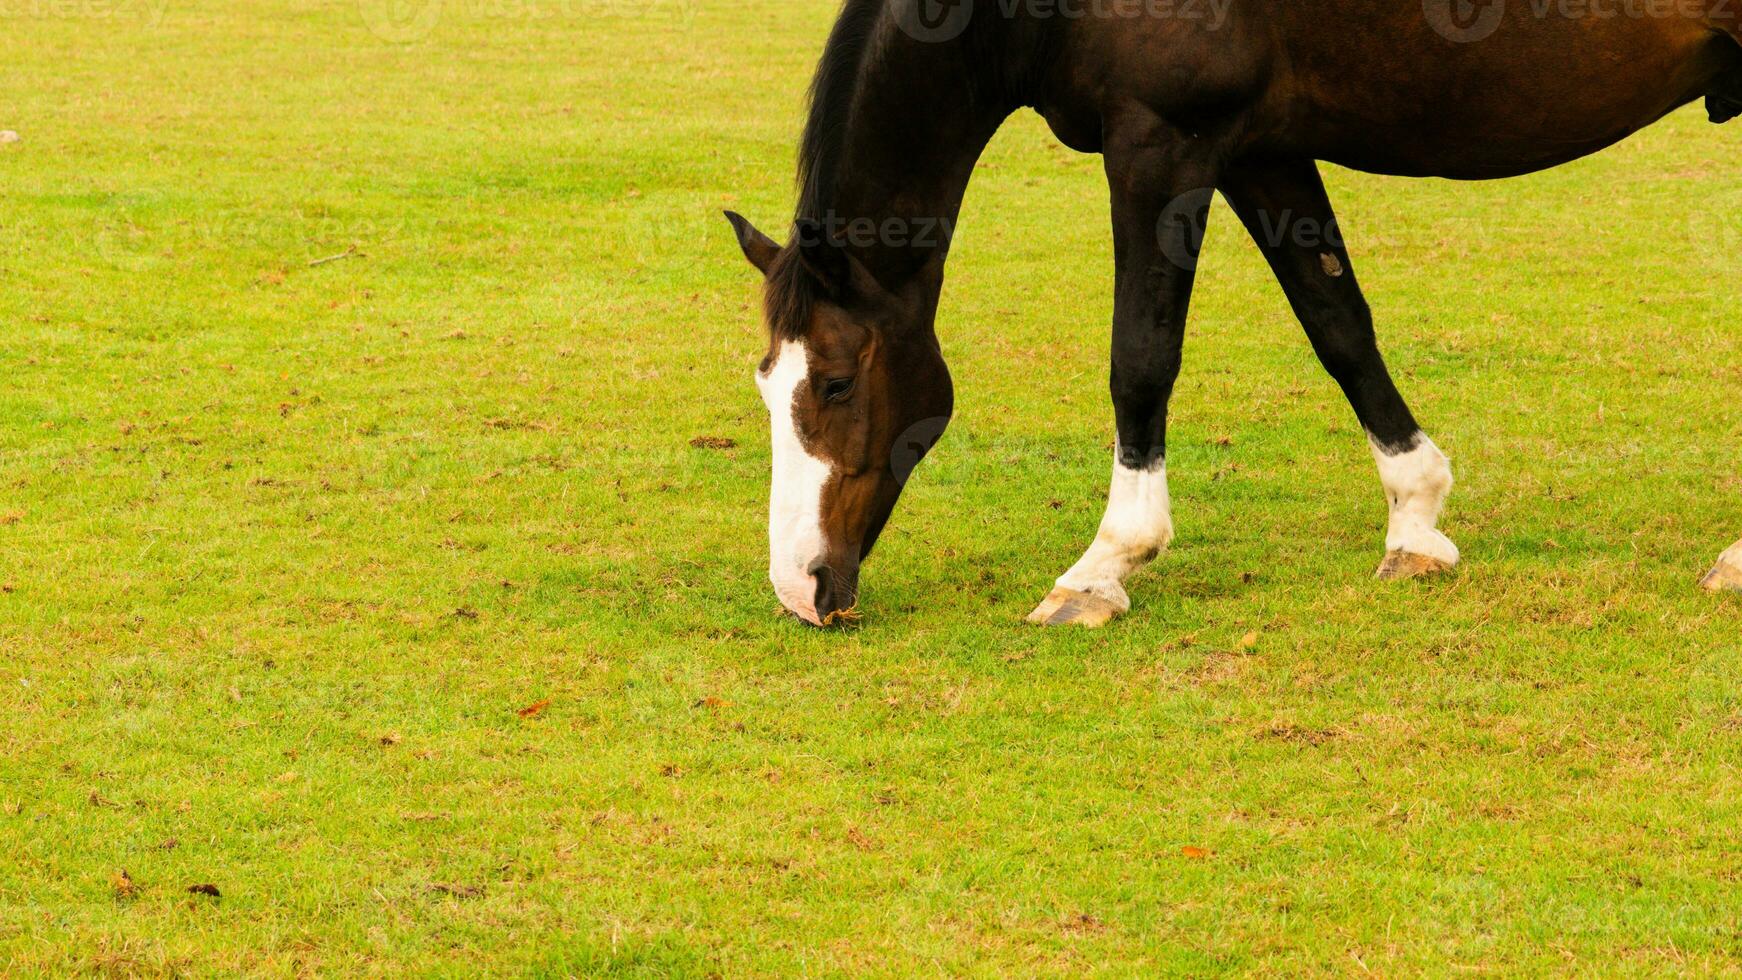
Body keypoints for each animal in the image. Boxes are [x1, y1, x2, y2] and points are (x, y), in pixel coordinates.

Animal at [728, 0, 1742, 630]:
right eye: (769, 385)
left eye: (835, 381)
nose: (800, 586)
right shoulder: (1263, 150)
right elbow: (1338, 322)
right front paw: (1415, 522)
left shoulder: (1161, 141)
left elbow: (1140, 358)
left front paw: (1104, 566)